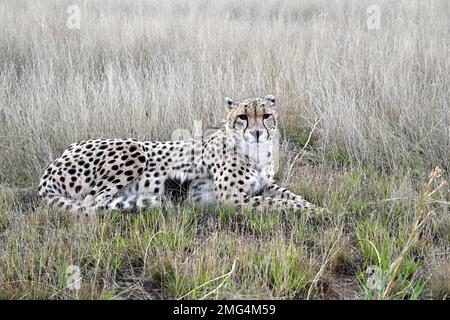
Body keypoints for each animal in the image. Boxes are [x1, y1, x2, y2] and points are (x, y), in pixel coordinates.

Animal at [40, 95, 318, 215]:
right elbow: (276, 203)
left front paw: (315, 207)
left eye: (266, 116)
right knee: (93, 203)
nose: (258, 132)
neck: (256, 152)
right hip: (135, 149)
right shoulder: (232, 198)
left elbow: (289, 195)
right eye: (243, 117)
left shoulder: (265, 185)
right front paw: (311, 212)